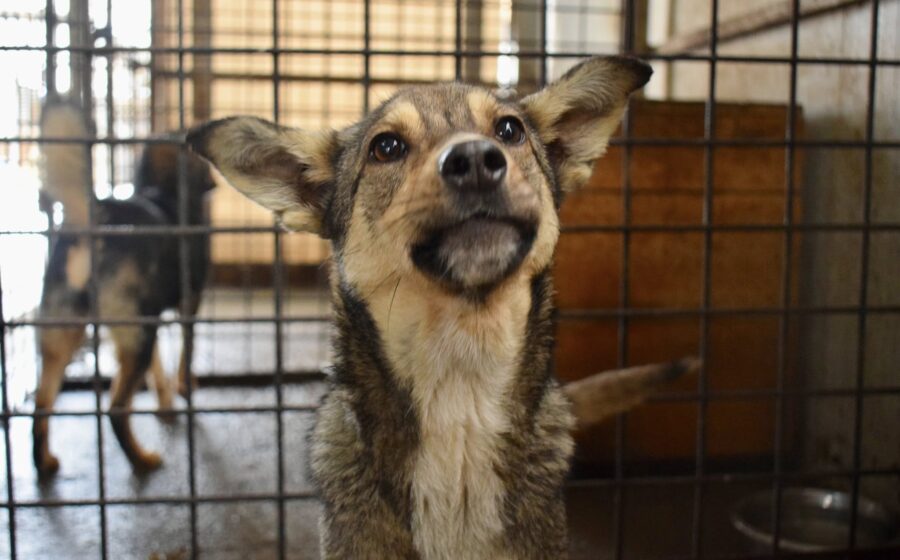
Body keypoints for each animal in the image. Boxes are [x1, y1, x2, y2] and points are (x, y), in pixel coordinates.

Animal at [33, 98, 215, 475]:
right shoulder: (189, 303)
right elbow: (186, 353)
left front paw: (165, 404)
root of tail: (97, 215)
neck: (162, 192)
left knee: (42, 403)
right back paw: (142, 460)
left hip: (63, 330)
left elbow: (159, 369)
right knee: (116, 409)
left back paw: (44, 462)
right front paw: (184, 388)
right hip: (135, 332)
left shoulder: (154, 313)